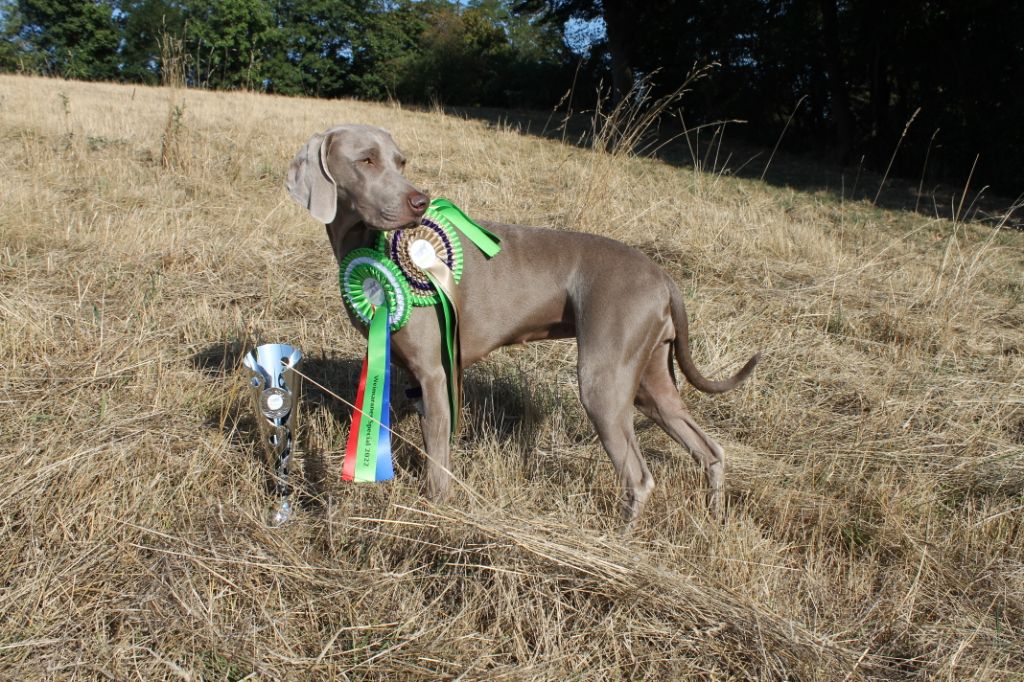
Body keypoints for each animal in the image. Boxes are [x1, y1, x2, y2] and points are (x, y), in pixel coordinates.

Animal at [286, 124, 759, 521]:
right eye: (367, 160)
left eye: (400, 162)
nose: (419, 201)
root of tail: (663, 277)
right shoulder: (418, 378)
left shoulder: (436, 374)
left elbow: (438, 461)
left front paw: (436, 512)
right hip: (649, 379)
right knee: (709, 449)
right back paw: (715, 516)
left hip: (603, 381)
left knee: (640, 477)